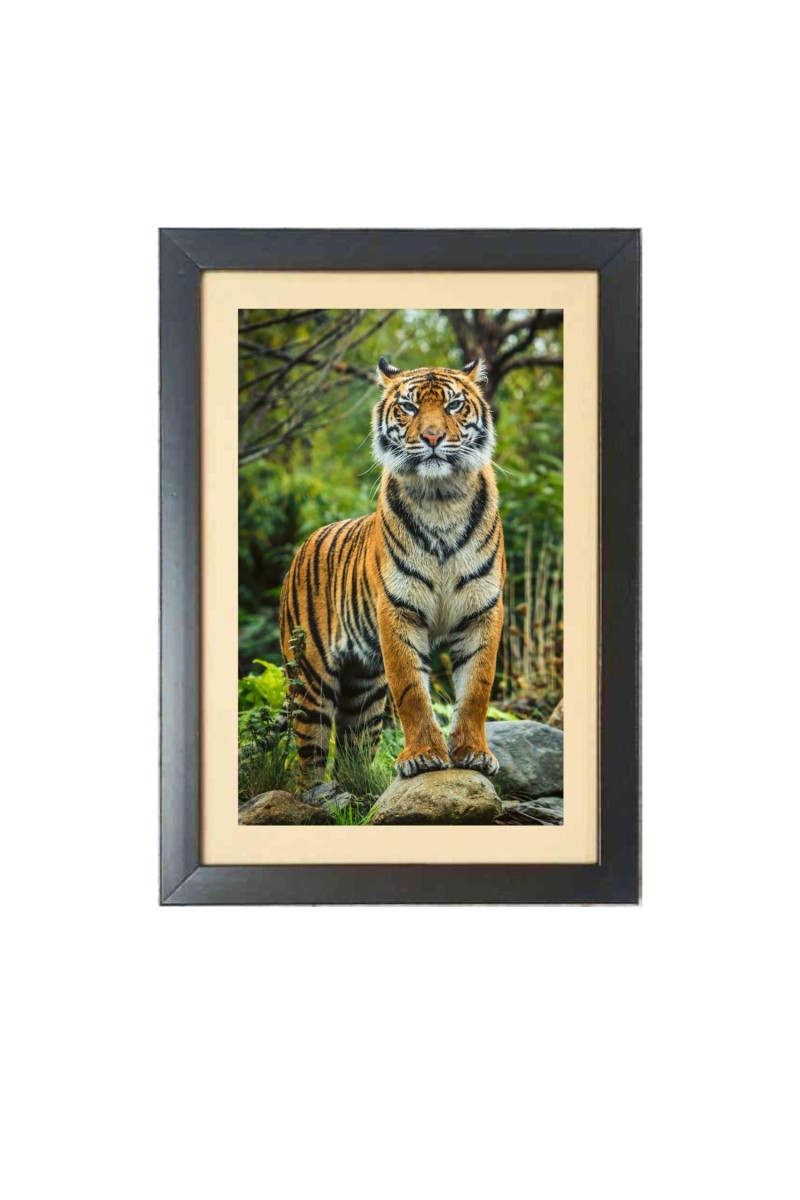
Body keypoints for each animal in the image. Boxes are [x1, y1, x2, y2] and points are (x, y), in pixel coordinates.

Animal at [279, 355, 505, 782]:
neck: (441, 499)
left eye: (453, 405)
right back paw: (313, 793)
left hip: (363, 690)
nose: (432, 437)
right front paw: (424, 756)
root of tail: (303, 545)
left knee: (352, 749)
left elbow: (476, 688)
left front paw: (473, 754)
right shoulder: (398, 611)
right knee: (309, 757)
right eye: (410, 407)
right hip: (310, 679)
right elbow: (411, 690)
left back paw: (355, 784)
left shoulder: (482, 610)